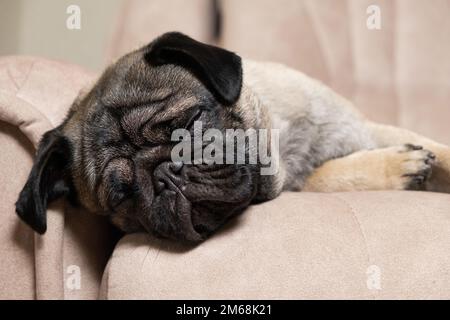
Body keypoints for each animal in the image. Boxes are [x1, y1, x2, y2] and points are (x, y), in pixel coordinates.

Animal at [15, 33, 450, 242]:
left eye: (189, 120)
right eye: (122, 195)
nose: (167, 174)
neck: (282, 141)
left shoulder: (365, 127)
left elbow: (439, 148)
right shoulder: (302, 182)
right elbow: (327, 176)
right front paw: (400, 166)